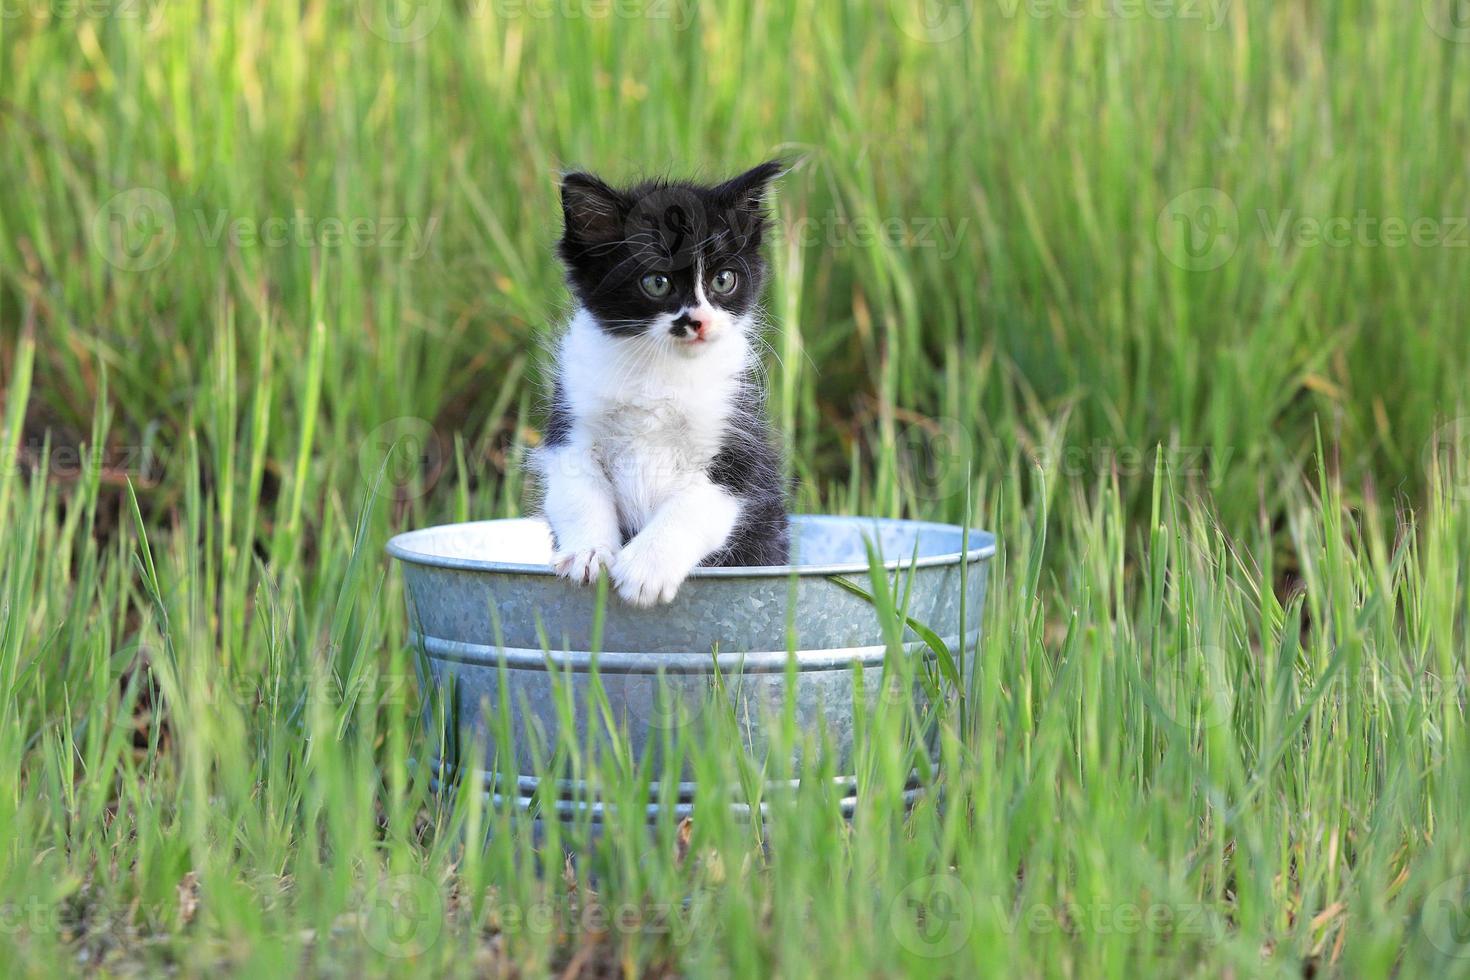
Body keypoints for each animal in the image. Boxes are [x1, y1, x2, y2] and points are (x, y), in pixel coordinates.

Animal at [538, 160, 793, 605]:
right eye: (656, 282)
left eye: (723, 280)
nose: (699, 321)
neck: (660, 370)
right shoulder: (571, 422)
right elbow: (579, 490)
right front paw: (589, 552)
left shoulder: (737, 447)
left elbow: (695, 503)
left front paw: (645, 569)